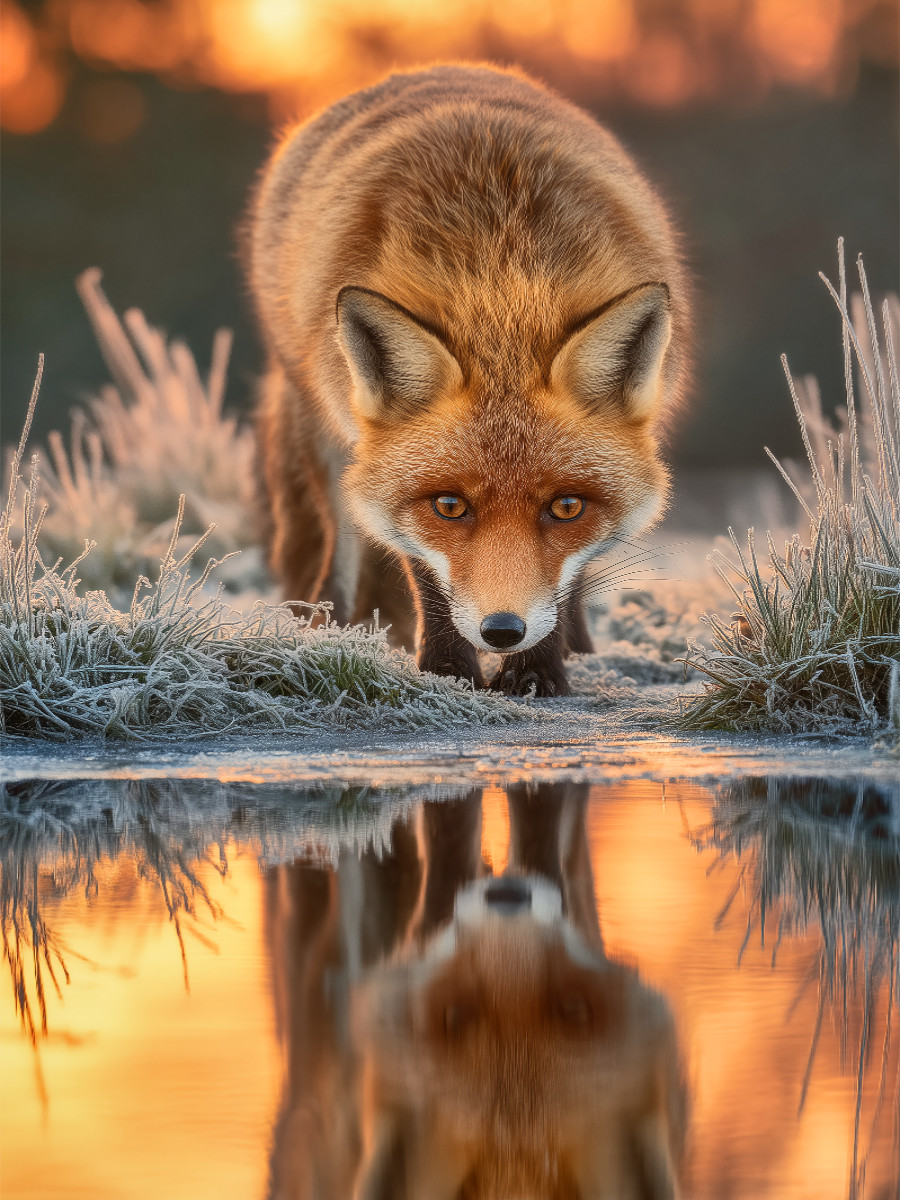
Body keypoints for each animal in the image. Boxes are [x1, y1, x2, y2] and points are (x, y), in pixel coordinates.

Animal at [247, 64, 689, 695]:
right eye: (450, 506)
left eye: (566, 508)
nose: (502, 631)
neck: (500, 284)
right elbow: (424, 570)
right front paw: (448, 669)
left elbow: (564, 580)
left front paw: (538, 671)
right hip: (322, 422)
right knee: (340, 539)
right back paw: (325, 627)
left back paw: (578, 646)